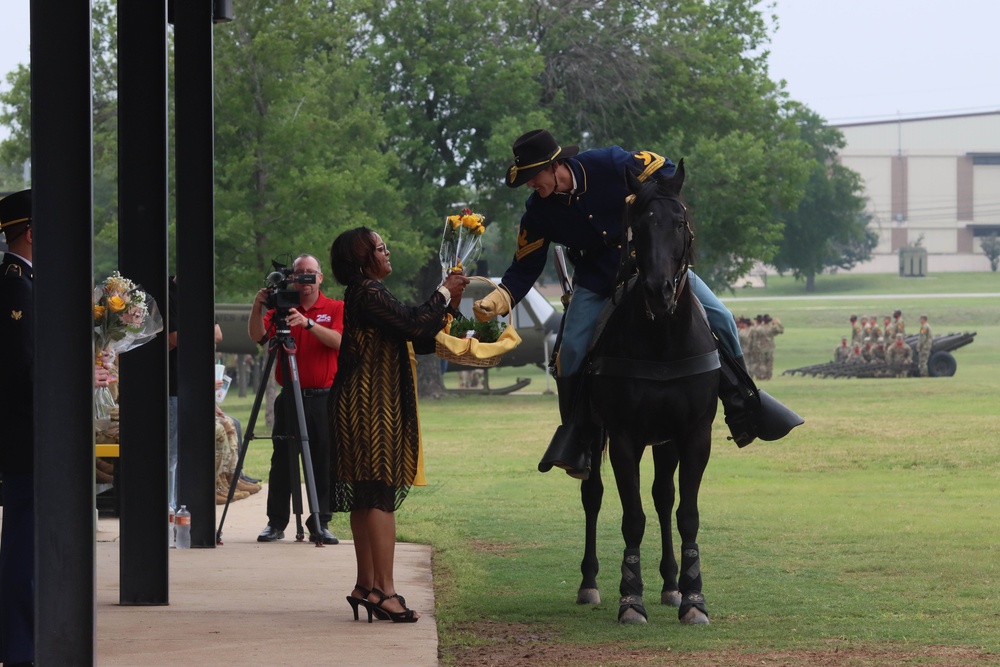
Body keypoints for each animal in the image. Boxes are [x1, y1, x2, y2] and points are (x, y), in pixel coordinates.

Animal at [584, 163, 724, 628]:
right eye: (638, 227)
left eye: (679, 222)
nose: (658, 290)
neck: (663, 338)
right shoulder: (623, 438)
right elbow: (632, 517)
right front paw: (630, 599)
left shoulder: (694, 435)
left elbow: (686, 514)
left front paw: (694, 598)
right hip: (591, 431)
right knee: (593, 495)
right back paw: (588, 582)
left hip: (665, 442)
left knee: (664, 498)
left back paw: (671, 583)